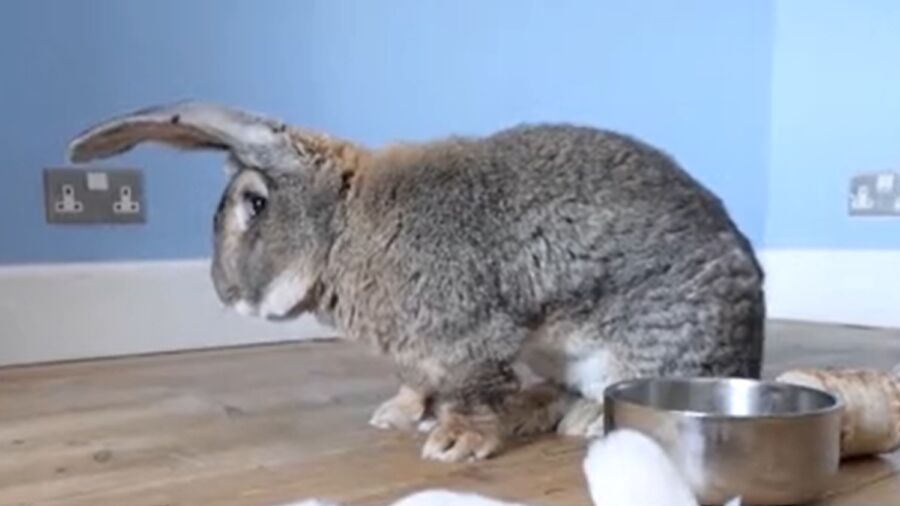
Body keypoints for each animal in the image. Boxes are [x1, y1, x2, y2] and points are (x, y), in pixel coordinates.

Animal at [68, 100, 765, 462]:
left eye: (255, 204)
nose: (225, 291)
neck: (342, 226)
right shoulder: (421, 353)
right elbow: (419, 383)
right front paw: (396, 417)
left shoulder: (470, 336)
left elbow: (469, 390)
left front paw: (454, 444)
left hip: (639, 351)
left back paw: (588, 423)